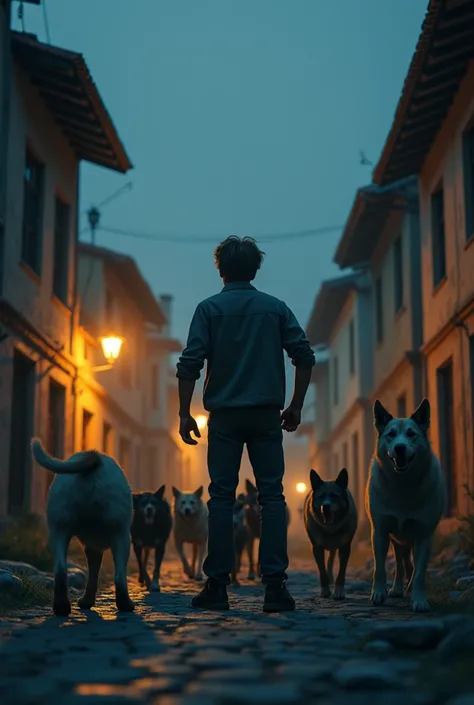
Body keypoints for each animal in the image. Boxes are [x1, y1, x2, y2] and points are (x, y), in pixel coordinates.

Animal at [31, 438, 135, 612]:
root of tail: (94, 458)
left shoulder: (93, 547)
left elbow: (93, 574)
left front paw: (87, 601)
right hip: (121, 535)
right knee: (120, 576)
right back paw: (125, 604)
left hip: (59, 529)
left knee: (61, 570)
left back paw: (61, 607)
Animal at [306, 468, 358, 600]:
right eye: (321, 496)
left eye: (335, 496)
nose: (325, 506)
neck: (331, 528)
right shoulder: (317, 548)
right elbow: (322, 570)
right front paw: (325, 590)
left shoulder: (345, 547)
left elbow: (341, 571)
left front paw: (338, 591)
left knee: (331, 558)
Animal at [364, 398, 446, 612]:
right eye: (391, 434)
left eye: (411, 433)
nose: (399, 447)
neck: (402, 484)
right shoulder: (380, 531)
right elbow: (380, 568)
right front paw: (378, 593)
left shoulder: (424, 535)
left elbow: (419, 573)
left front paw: (419, 600)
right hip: (397, 539)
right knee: (401, 564)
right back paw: (397, 588)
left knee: (411, 566)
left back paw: (408, 588)